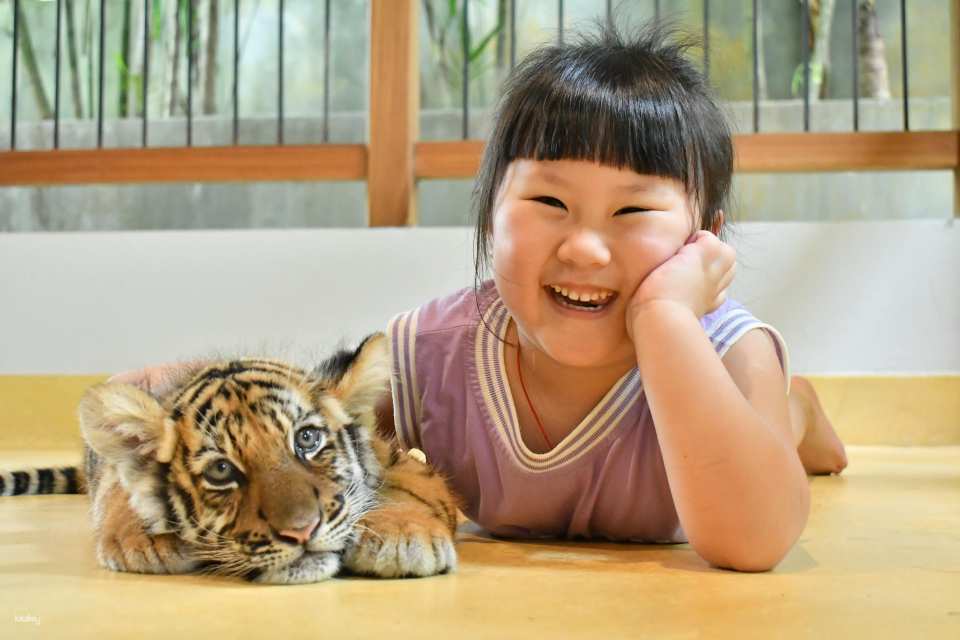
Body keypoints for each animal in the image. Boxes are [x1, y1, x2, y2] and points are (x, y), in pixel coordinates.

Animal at [0, 333, 459, 584]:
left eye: (307, 439)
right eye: (222, 470)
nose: (301, 532)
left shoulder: (400, 459)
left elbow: (412, 490)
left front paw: (402, 537)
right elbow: (121, 490)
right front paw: (145, 540)